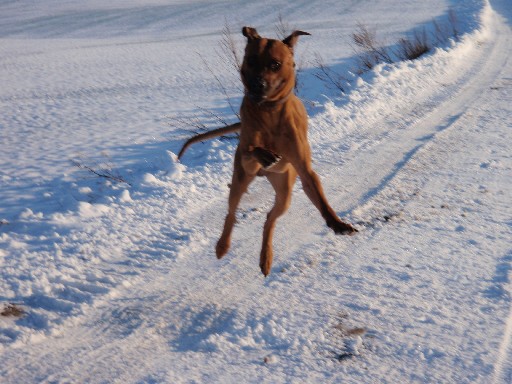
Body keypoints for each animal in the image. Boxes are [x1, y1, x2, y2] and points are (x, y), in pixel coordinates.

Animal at [179, 27, 356, 276]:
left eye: (275, 64)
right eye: (251, 60)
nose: (257, 85)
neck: (269, 111)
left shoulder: (305, 169)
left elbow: (320, 197)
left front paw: (338, 224)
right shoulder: (246, 153)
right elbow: (251, 149)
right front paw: (265, 154)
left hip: (285, 190)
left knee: (269, 218)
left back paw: (266, 258)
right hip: (241, 178)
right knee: (231, 212)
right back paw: (223, 246)